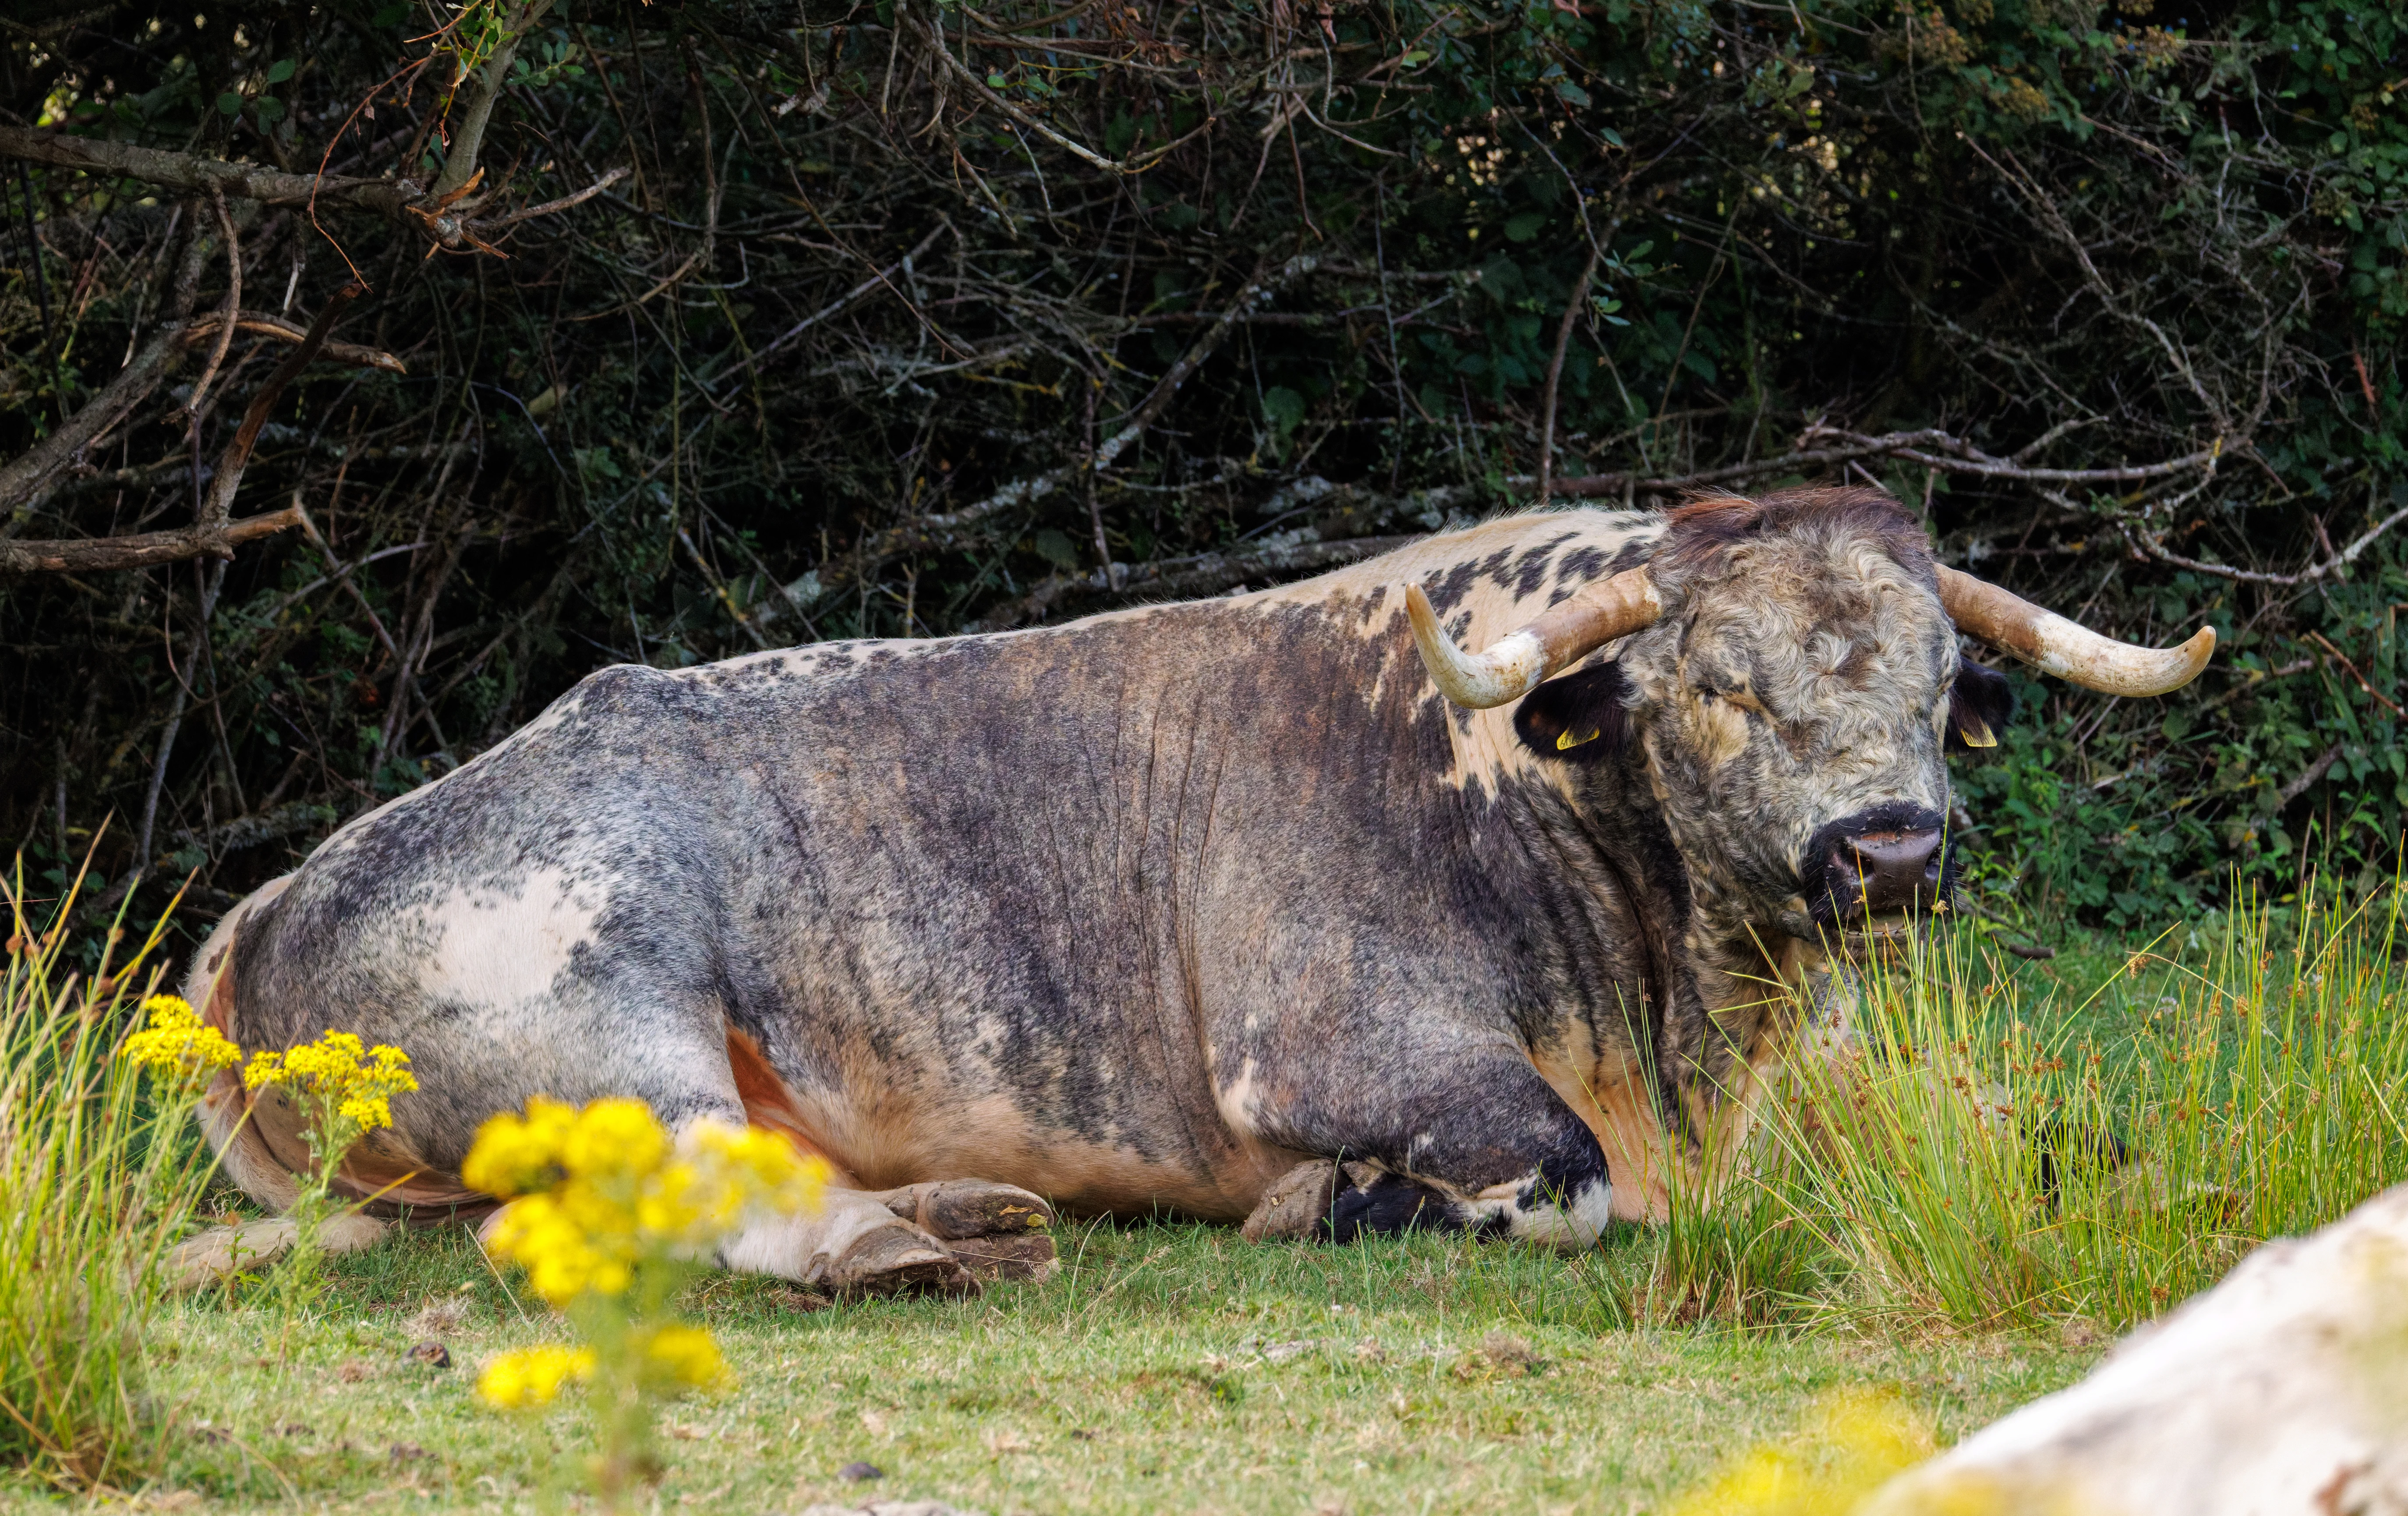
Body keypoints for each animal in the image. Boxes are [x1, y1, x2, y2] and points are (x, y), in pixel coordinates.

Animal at [181, 486, 2212, 1297]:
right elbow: (1554, 1173)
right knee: (670, 1202)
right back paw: (909, 1243)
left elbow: (2060, 1145)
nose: (1888, 850)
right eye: (1717, 685)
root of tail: (260, 919)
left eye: (1938, 685)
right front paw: (1339, 1203)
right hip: (605, 1010)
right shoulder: (1341, 1045)